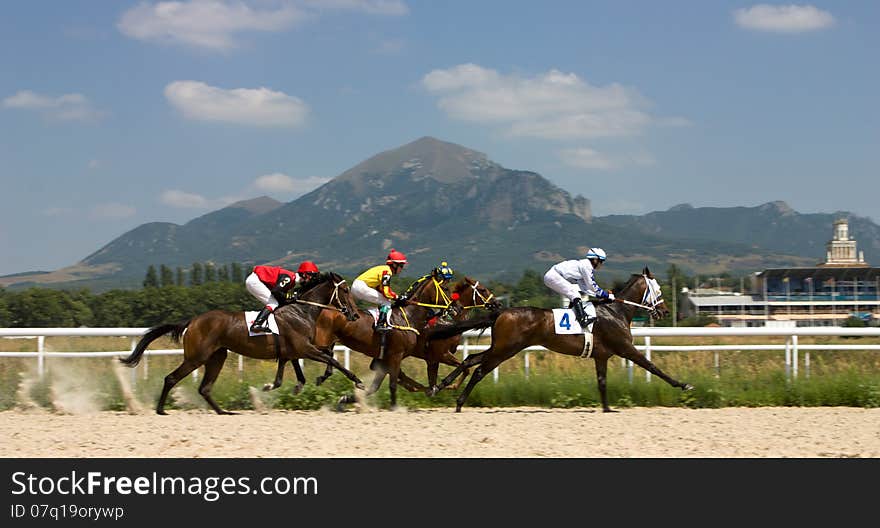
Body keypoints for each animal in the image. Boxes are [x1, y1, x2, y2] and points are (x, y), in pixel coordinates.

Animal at [117, 272, 364, 416]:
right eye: (345, 290)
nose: (354, 315)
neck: (302, 311)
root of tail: (193, 321)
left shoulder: (295, 350)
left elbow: (295, 369)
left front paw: (278, 386)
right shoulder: (305, 348)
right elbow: (332, 359)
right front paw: (358, 381)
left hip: (217, 356)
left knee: (204, 388)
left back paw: (224, 412)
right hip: (197, 357)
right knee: (171, 378)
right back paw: (160, 410)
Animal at [426, 268, 696, 412]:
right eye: (658, 290)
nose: (664, 311)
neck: (617, 311)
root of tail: (502, 311)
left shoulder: (601, 356)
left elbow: (602, 383)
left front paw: (607, 408)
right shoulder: (625, 348)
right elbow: (652, 366)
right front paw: (683, 384)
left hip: (502, 347)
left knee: (471, 359)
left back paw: (439, 387)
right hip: (506, 349)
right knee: (480, 370)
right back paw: (458, 401)